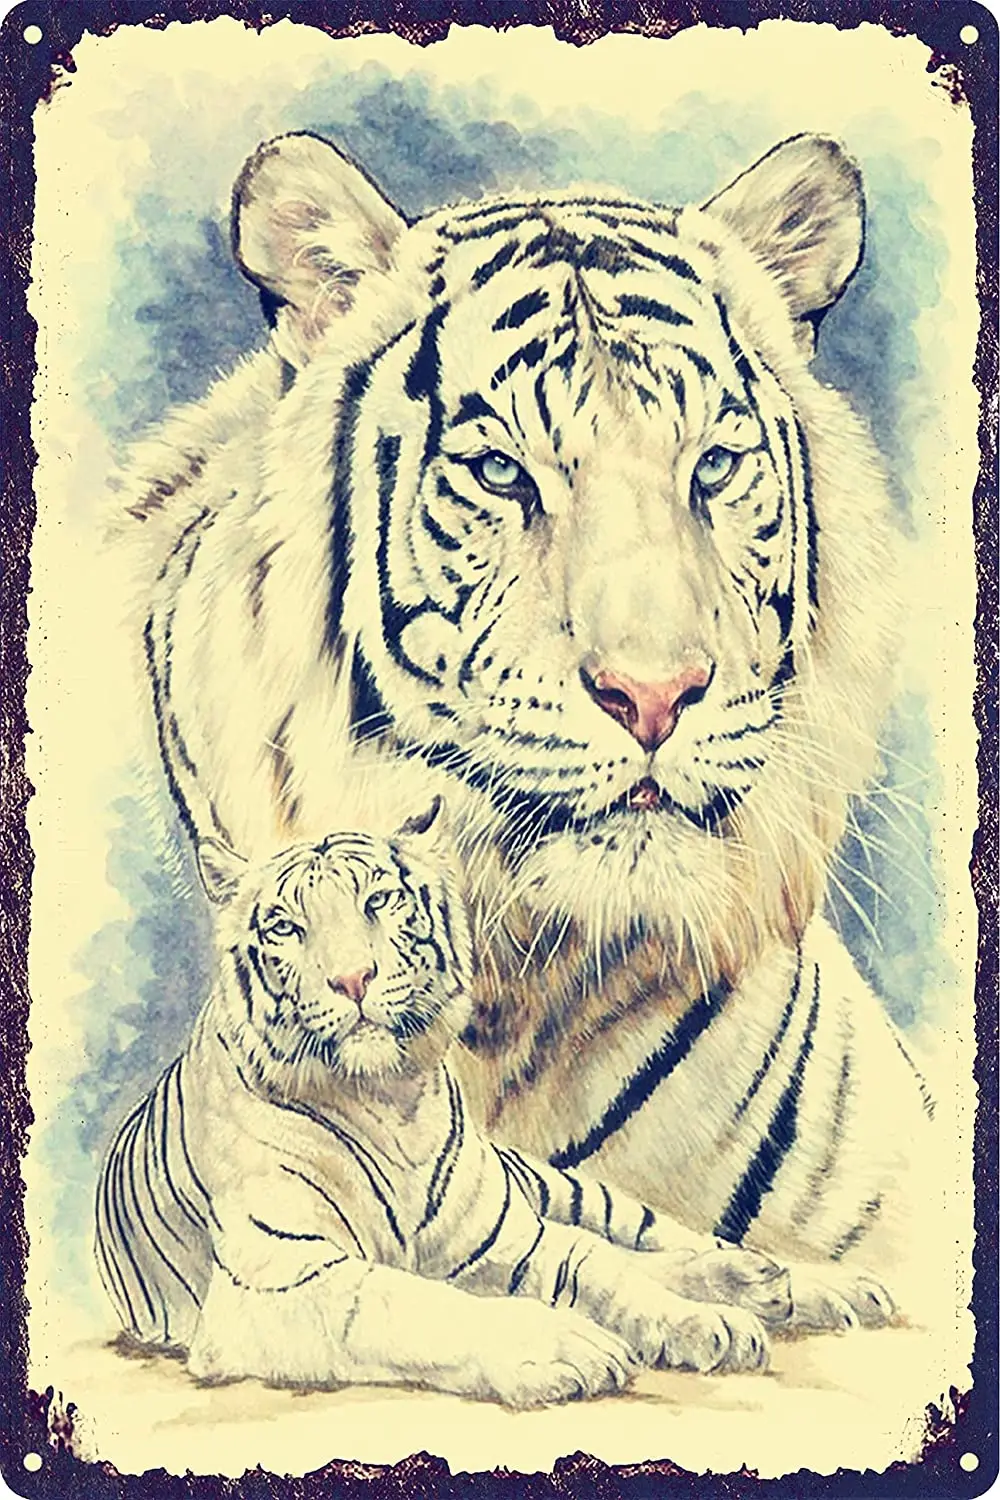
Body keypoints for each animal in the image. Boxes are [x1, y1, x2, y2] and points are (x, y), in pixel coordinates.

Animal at [94, 798, 812, 1406]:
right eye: (284, 927)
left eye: (379, 900)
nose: (351, 979)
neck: (393, 1102)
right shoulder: (280, 1277)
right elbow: (415, 1302)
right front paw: (561, 1346)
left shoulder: (507, 1238)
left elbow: (597, 1269)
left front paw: (704, 1323)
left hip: (566, 1191)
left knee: (650, 1241)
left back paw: (782, 1283)